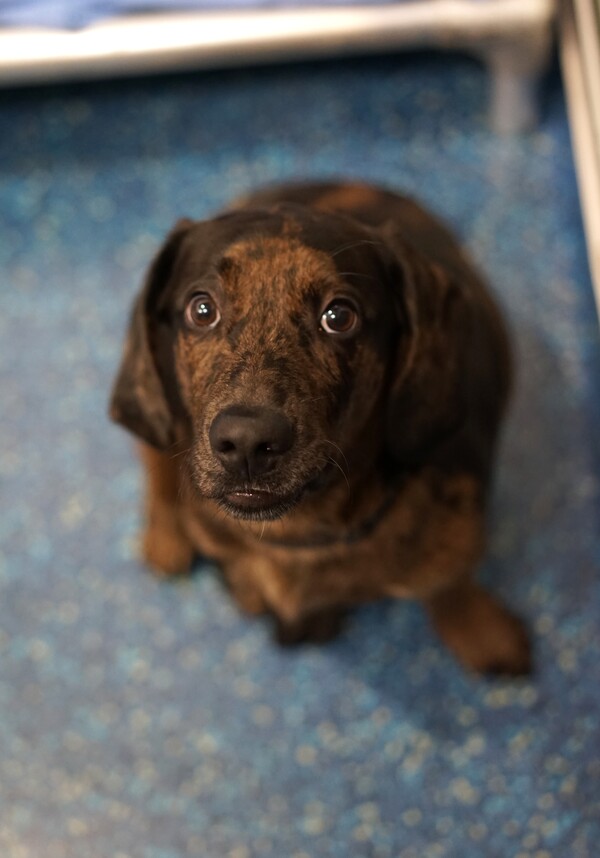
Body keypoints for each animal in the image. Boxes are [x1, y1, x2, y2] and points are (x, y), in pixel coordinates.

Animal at [110, 181, 531, 675]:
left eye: (339, 316)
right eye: (202, 308)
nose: (246, 442)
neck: (298, 534)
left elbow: (449, 582)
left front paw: (477, 626)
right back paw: (166, 536)